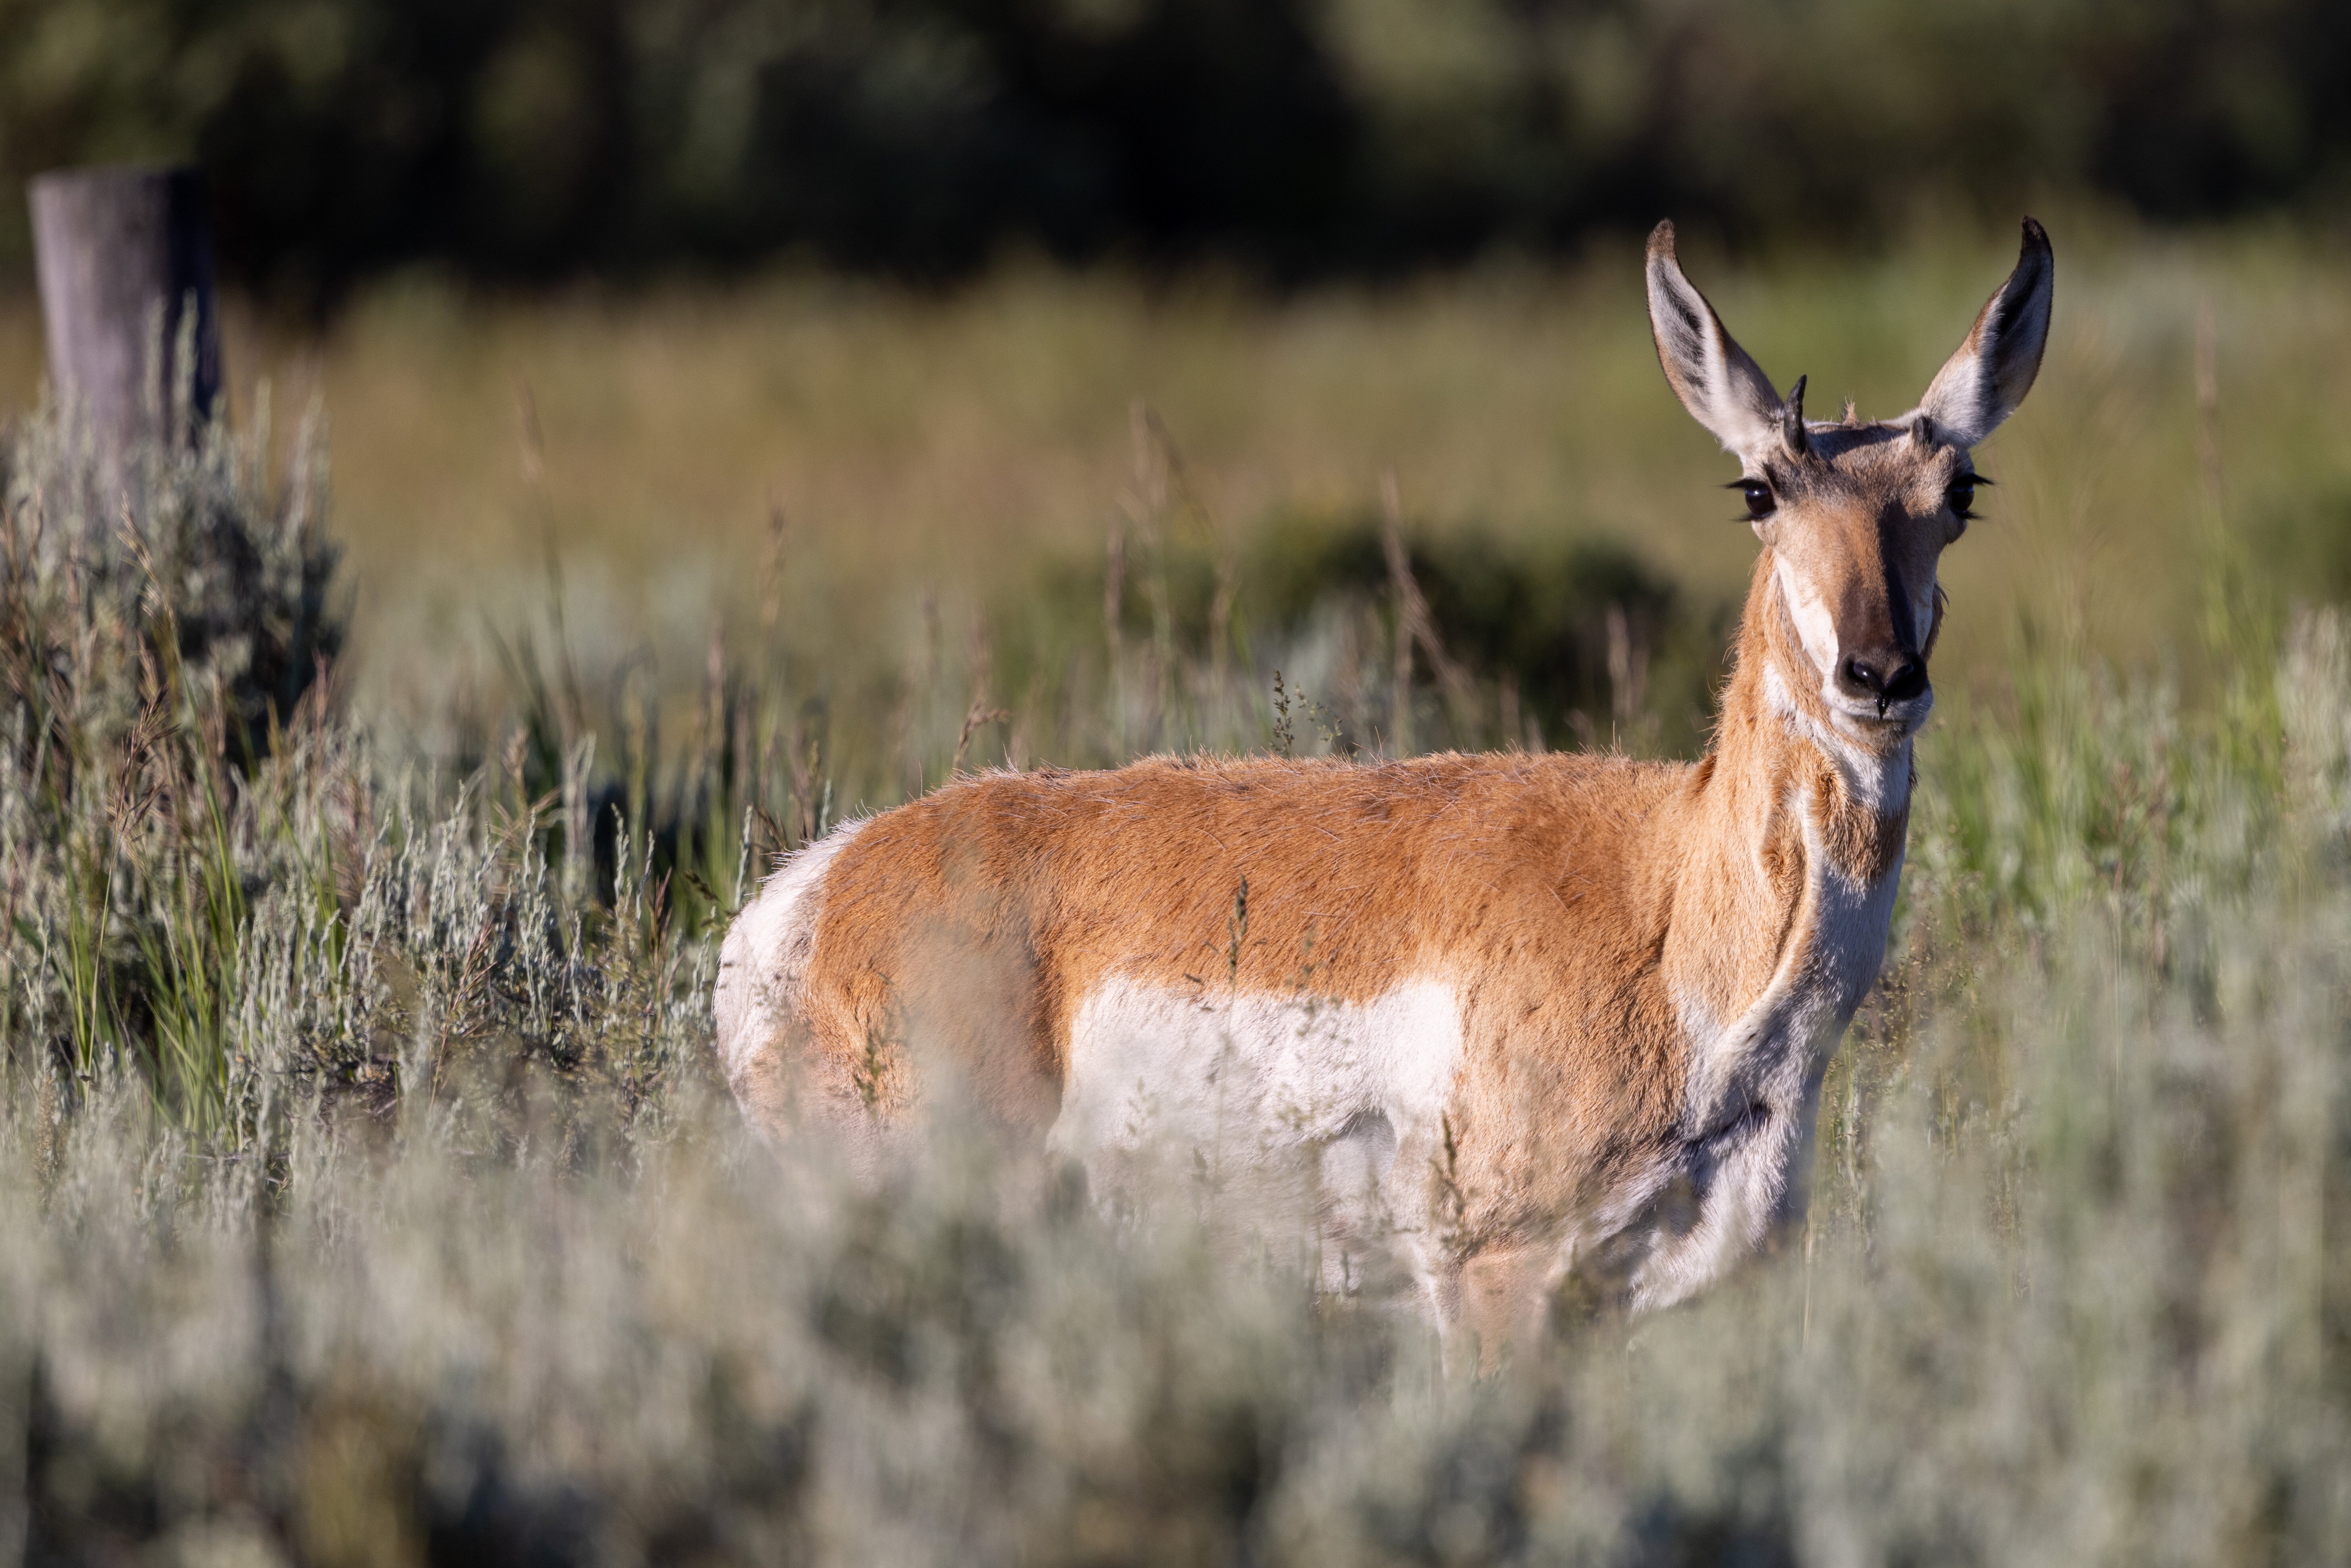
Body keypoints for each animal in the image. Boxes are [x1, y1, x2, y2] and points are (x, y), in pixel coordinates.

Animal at [714, 217, 2059, 1354]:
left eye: (1959, 495)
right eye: (1757, 490)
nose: (1879, 675)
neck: (1672, 896)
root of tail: (812, 889)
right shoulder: (1495, 1281)